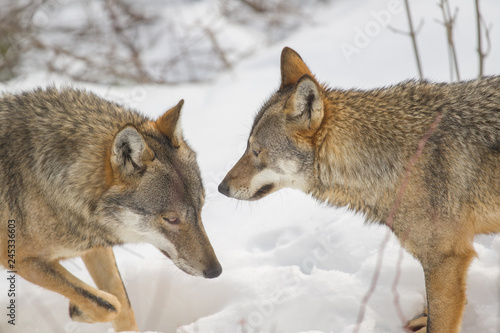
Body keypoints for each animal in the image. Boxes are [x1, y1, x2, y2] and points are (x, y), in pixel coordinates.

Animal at [0, 87, 223, 330]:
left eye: (200, 209)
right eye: (172, 219)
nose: (216, 271)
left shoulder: (95, 247)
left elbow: (123, 304)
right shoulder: (22, 260)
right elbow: (109, 305)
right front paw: (79, 310)